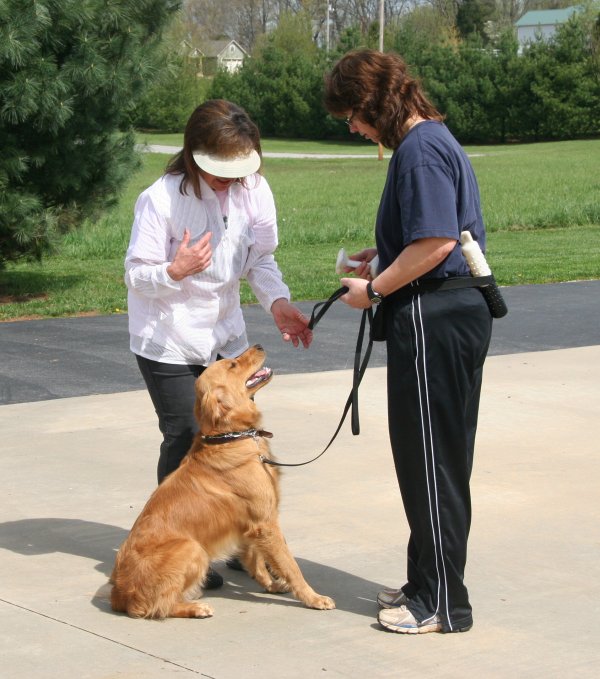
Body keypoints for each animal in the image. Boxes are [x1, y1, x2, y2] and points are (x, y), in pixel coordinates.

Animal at [110, 348, 336, 620]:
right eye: (232, 365)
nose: (259, 345)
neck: (231, 437)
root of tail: (119, 596)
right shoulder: (266, 522)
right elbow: (291, 565)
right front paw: (313, 598)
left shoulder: (250, 524)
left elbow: (256, 560)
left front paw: (270, 584)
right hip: (192, 547)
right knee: (161, 606)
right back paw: (196, 607)